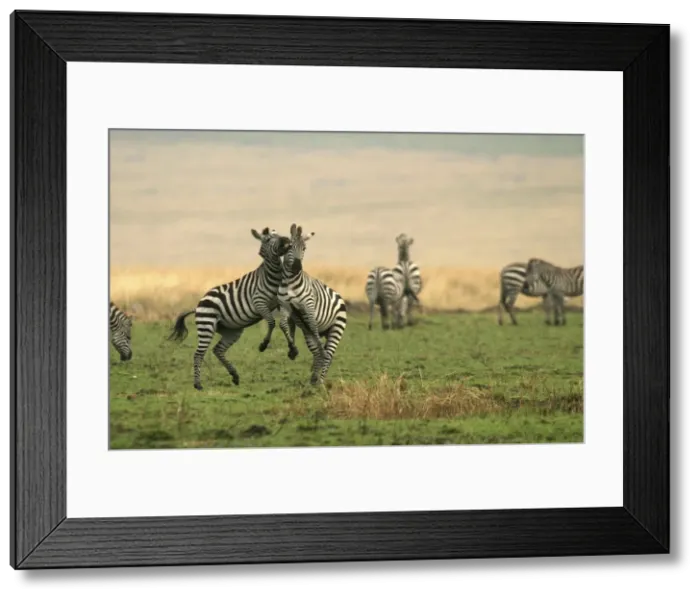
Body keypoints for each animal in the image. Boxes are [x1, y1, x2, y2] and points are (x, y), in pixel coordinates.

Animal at [167, 227, 291, 390]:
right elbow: (271, 323)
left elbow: (283, 324)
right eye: (268, 239)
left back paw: (235, 376)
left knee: (218, 350)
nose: (287, 240)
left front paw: (293, 349)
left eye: (278, 235)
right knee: (199, 354)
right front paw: (263, 345)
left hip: (232, 331)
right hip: (207, 326)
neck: (273, 276)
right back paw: (198, 384)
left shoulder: (280, 303)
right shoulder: (259, 302)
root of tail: (198, 305)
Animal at [276, 223, 347, 386]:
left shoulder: (308, 307)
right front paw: (292, 350)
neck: (290, 283)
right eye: (289, 247)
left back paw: (320, 381)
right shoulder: (285, 306)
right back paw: (314, 379)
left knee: (328, 354)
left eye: (304, 248)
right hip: (310, 332)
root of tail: (340, 297)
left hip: (336, 328)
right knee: (317, 352)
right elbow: (283, 325)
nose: (297, 267)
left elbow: (314, 329)